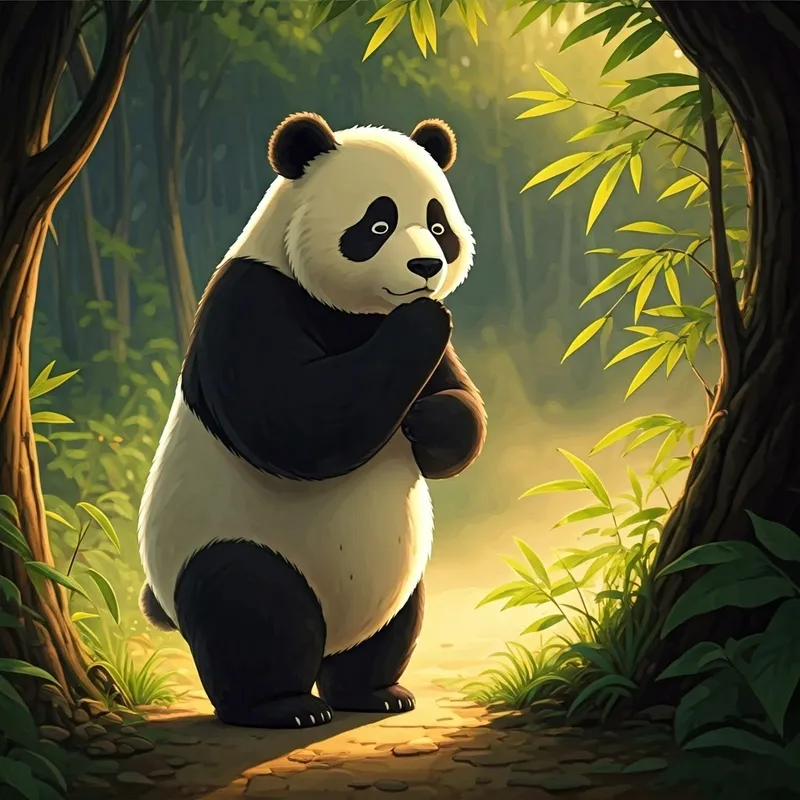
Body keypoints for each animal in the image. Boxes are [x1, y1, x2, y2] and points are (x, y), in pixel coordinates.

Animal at [137, 111, 487, 730]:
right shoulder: (250, 301)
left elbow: (460, 406)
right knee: (250, 604)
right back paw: (283, 706)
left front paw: (427, 419)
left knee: (391, 624)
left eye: (437, 224)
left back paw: (374, 692)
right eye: (378, 224)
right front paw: (421, 320)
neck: (353, 311)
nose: (427, 267)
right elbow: (297, 423)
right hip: (233, 542)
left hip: (398, 575)